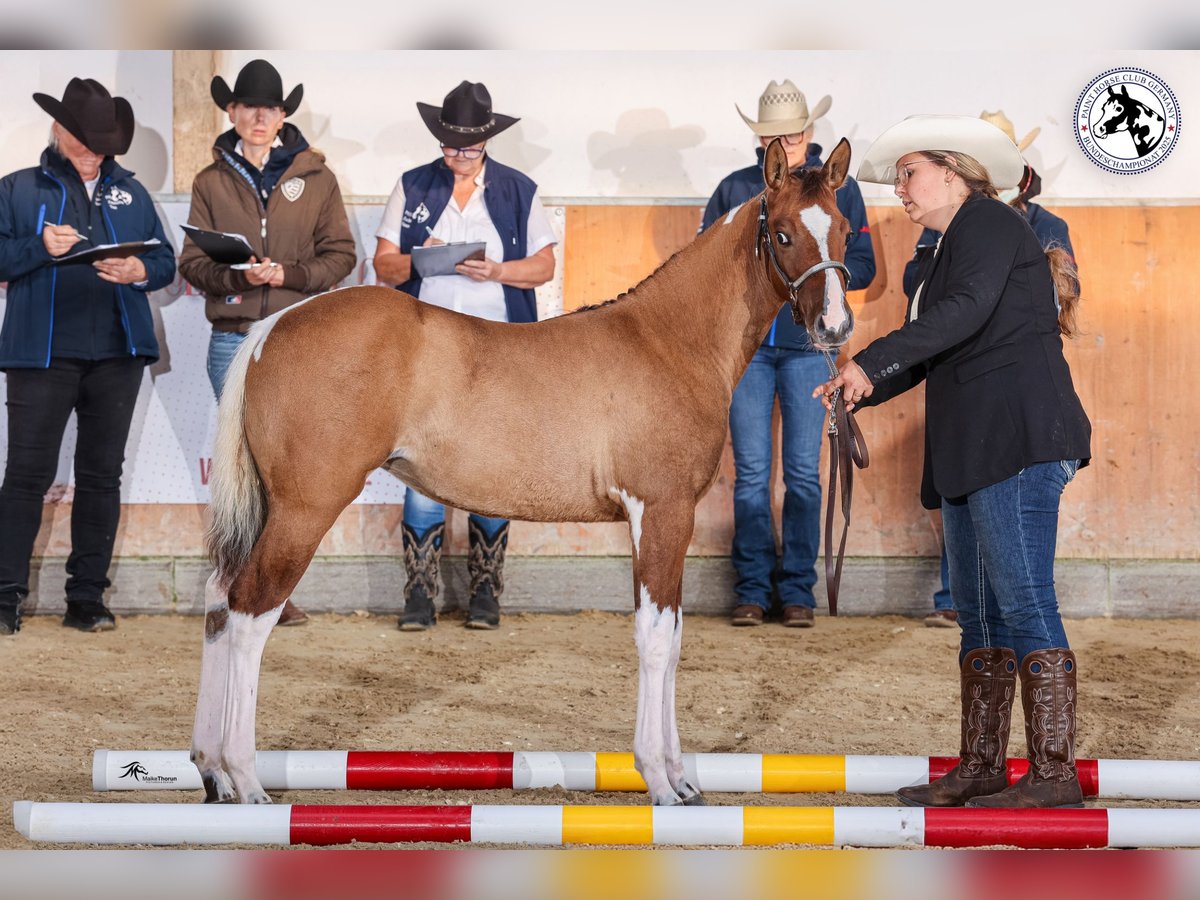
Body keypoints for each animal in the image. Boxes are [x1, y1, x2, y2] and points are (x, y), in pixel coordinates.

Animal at [192, 137, 855, 808]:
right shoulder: (661, 510)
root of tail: (271, 329)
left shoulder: (667, 519)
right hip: (305, 508)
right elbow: (655, 638)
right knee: (250, 612)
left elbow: (672, 636)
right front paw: (661, 782)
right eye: (783, 233)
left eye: (845, 229)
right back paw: (246, 780)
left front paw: (682, 779)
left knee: (220, 602)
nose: (834, 328)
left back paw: (212, 771)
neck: (667, 340)